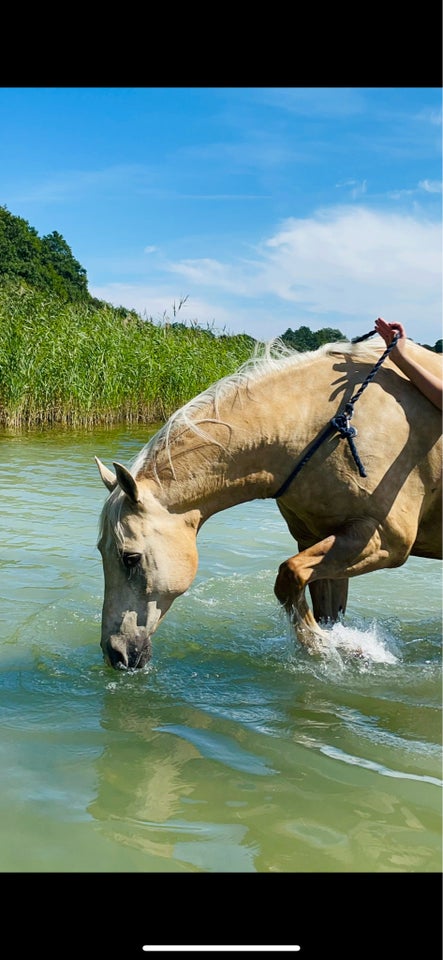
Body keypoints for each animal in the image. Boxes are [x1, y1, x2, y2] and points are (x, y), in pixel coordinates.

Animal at [95, 338, 442, 668]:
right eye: (101, 551)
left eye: (130, 558)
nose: (115, 653)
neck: (324, 430)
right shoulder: (319, 540)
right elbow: (324, 609)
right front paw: (336, 645)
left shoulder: (383, 540)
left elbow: (289, 575)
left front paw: (323, 644)